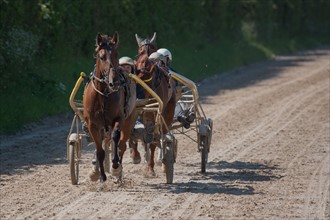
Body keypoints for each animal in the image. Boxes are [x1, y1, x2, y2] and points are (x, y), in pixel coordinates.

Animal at [84, 32, 137, 180]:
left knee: (121, 145)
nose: (115, 82)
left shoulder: (119, 118)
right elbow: (99, 150)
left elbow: (115, 137)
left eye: (116, 55)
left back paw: (117, 172)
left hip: (129, 119)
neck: (103, 96)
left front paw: (115, 164)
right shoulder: (92, 124)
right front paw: (101, 175)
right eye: (102, 57)